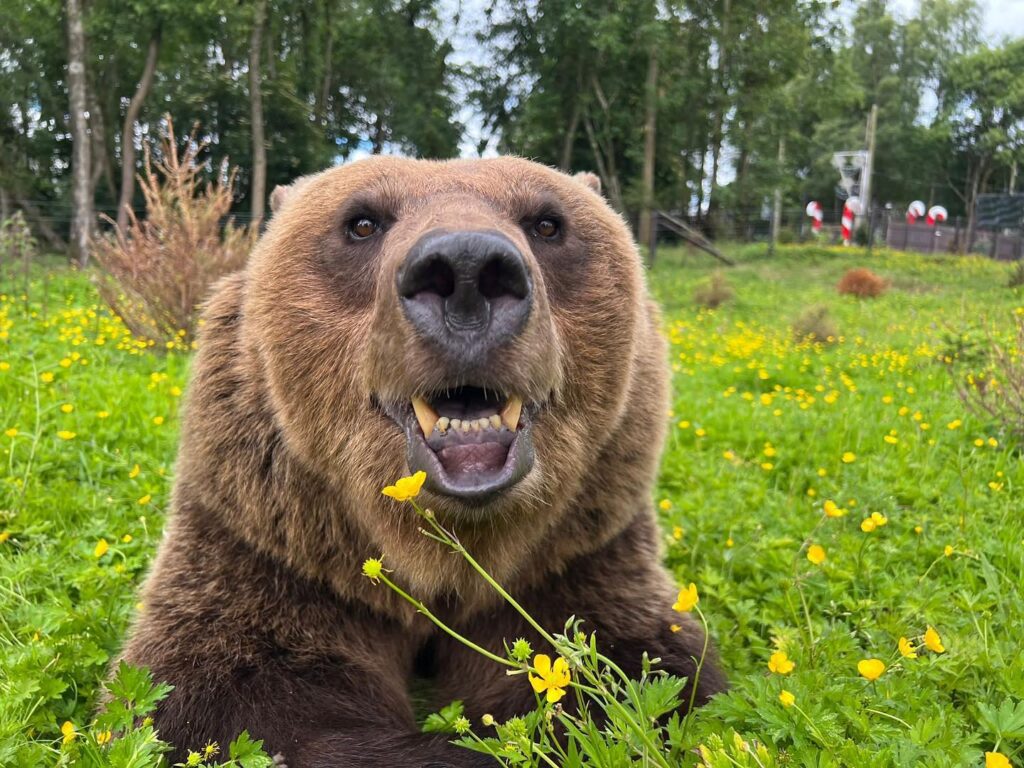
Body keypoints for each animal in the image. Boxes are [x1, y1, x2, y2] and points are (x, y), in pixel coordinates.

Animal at [119, 153, 724, 765]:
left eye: (548, 223)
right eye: (362, 222)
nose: (467, 270)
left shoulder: (574, 553)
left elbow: (633, 666)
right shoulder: (275, 545)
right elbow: (233, 697)